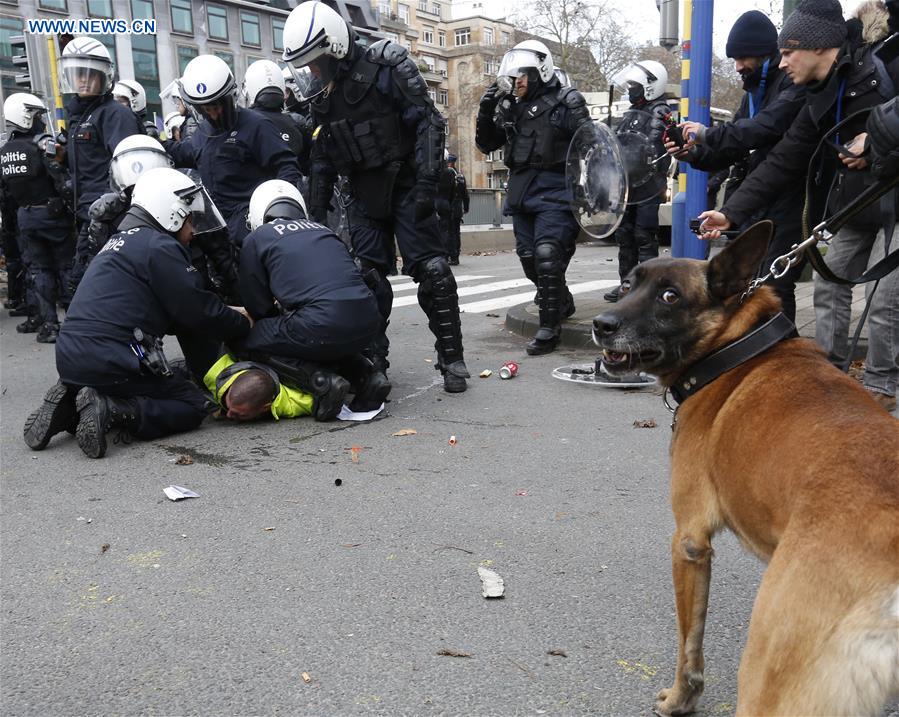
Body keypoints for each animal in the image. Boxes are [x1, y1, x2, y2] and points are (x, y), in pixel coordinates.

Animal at [596, 220, 896, 716]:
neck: (735, 348)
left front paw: (680, 698)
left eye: (670, 296)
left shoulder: (689, 543)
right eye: (627, 285)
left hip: (768, 669)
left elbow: (689, 645)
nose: (601, 325)